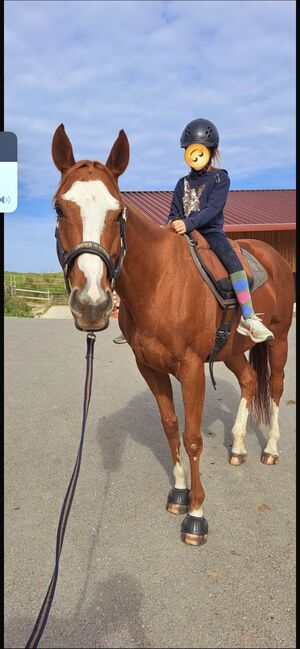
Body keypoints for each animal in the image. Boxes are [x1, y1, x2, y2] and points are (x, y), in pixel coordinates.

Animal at [52, 124, 296, 544]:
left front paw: (196, 513)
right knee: (250, 381)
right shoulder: (150, 368)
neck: (160, 281)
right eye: (59, 209)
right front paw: (179, 493)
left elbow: (192, 436)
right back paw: (238, 446)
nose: (92, 304)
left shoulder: (192, 370)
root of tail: (274, 256)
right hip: (233, 350)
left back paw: (271, 449)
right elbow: (169, 428)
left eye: (118, 213)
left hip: (278, 341)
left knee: (276, 387)